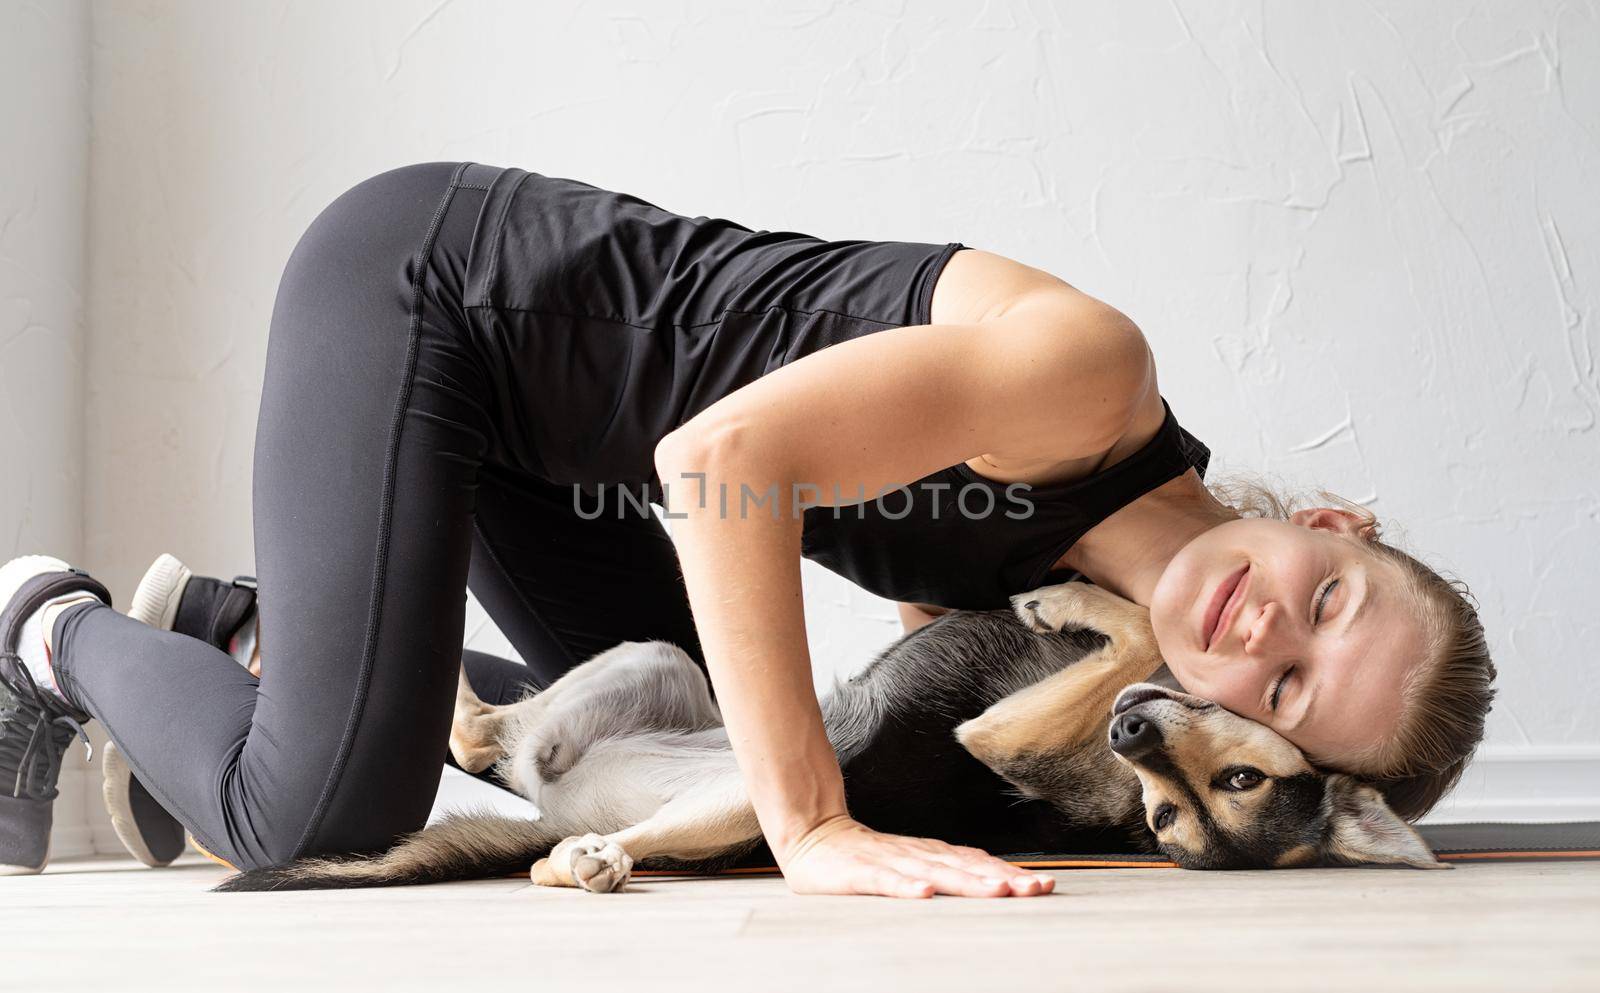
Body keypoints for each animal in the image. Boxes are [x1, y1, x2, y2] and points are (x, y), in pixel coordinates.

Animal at [216, 582, 1440, 889]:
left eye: (1206, 797)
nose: (1134, 731)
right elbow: (1135, 623)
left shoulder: (998, 730)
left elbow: (1130, 627)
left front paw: (1068, 604)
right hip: (674, 679)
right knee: (494, 745)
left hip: (688, 750)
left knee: (491, 746)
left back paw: (582, 855)